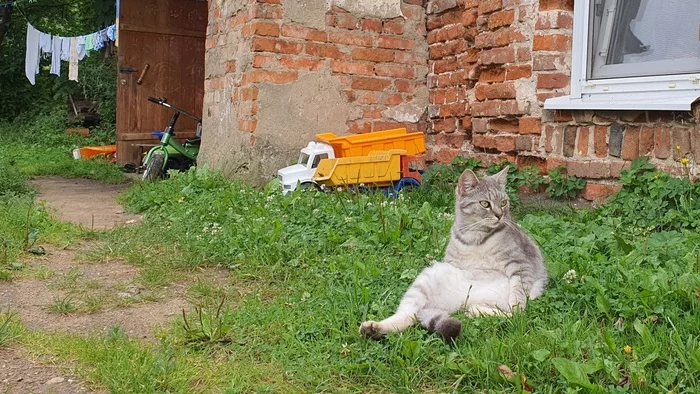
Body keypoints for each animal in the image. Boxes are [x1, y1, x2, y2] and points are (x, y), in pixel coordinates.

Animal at [360, 168, 548, 340]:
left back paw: (476, 311)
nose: (500, 215)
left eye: (503, 203)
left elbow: (518, 298)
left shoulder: (521, 263)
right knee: (408, 315)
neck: (474, 237)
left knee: (510, 315)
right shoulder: (452, 261)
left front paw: (517, 303)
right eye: (485, 204)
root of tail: (463, 302)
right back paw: (374, 328)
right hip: (427, 280)